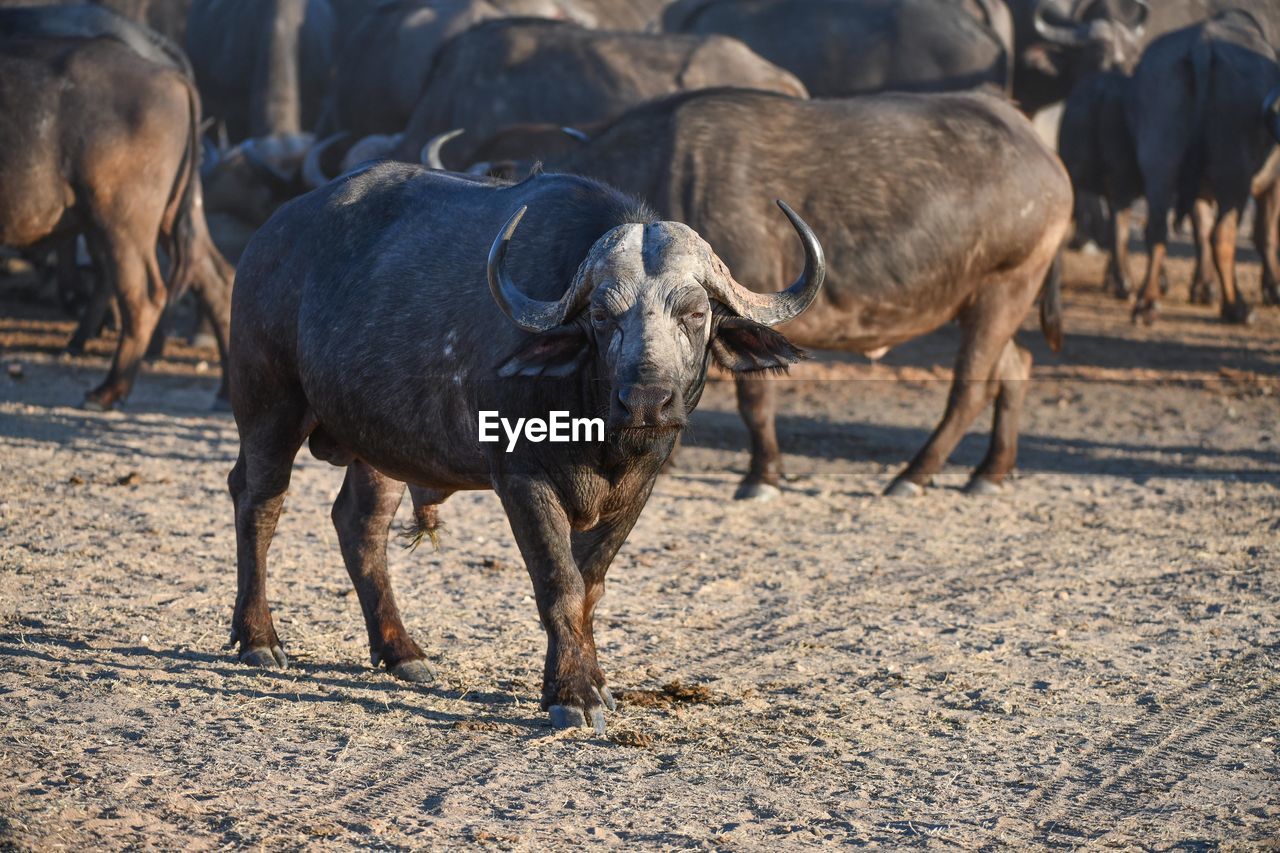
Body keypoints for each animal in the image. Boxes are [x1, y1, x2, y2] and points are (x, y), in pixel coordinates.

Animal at [0, 4, 234, 407]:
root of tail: (170, 76)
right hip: (176, 214)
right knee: (217, 278)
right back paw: (227, 390)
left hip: (123, 220)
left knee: (143, 296)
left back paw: (108, 390)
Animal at [227, 166, 829, 732]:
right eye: (602, 316)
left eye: (695, 313)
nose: (646, 401)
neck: (598, 433)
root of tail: (267, 239)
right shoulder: (521, 480)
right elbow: (558, 583)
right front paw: (573, 695)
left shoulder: (640, 487)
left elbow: (589, 588)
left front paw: (593, 681)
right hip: (268, 407)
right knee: (259, 501)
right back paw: (259, 639)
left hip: (379, 447)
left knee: (359, 524)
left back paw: (401, 651)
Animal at [519, 85, 1070, 494]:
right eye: (603, 314)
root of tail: (1037, 146)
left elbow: (753, 398)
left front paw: (762, 476)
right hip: (982, 299)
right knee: (1016, 365)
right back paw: (989, 472)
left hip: (1006, 287)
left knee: (969, 387)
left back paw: (913, 475)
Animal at [1131, 9, 1280, 322]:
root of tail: (1202, 46)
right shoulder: (1273, 181)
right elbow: (1266, 233)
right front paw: (1274, 288)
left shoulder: (1199, 190)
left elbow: (1200, 228)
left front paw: (1202, 287)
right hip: (1234, 177)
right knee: (1223, 235)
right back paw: (1236, 307)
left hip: (1159, 162)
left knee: (1156, 228)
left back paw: (1147, 302)